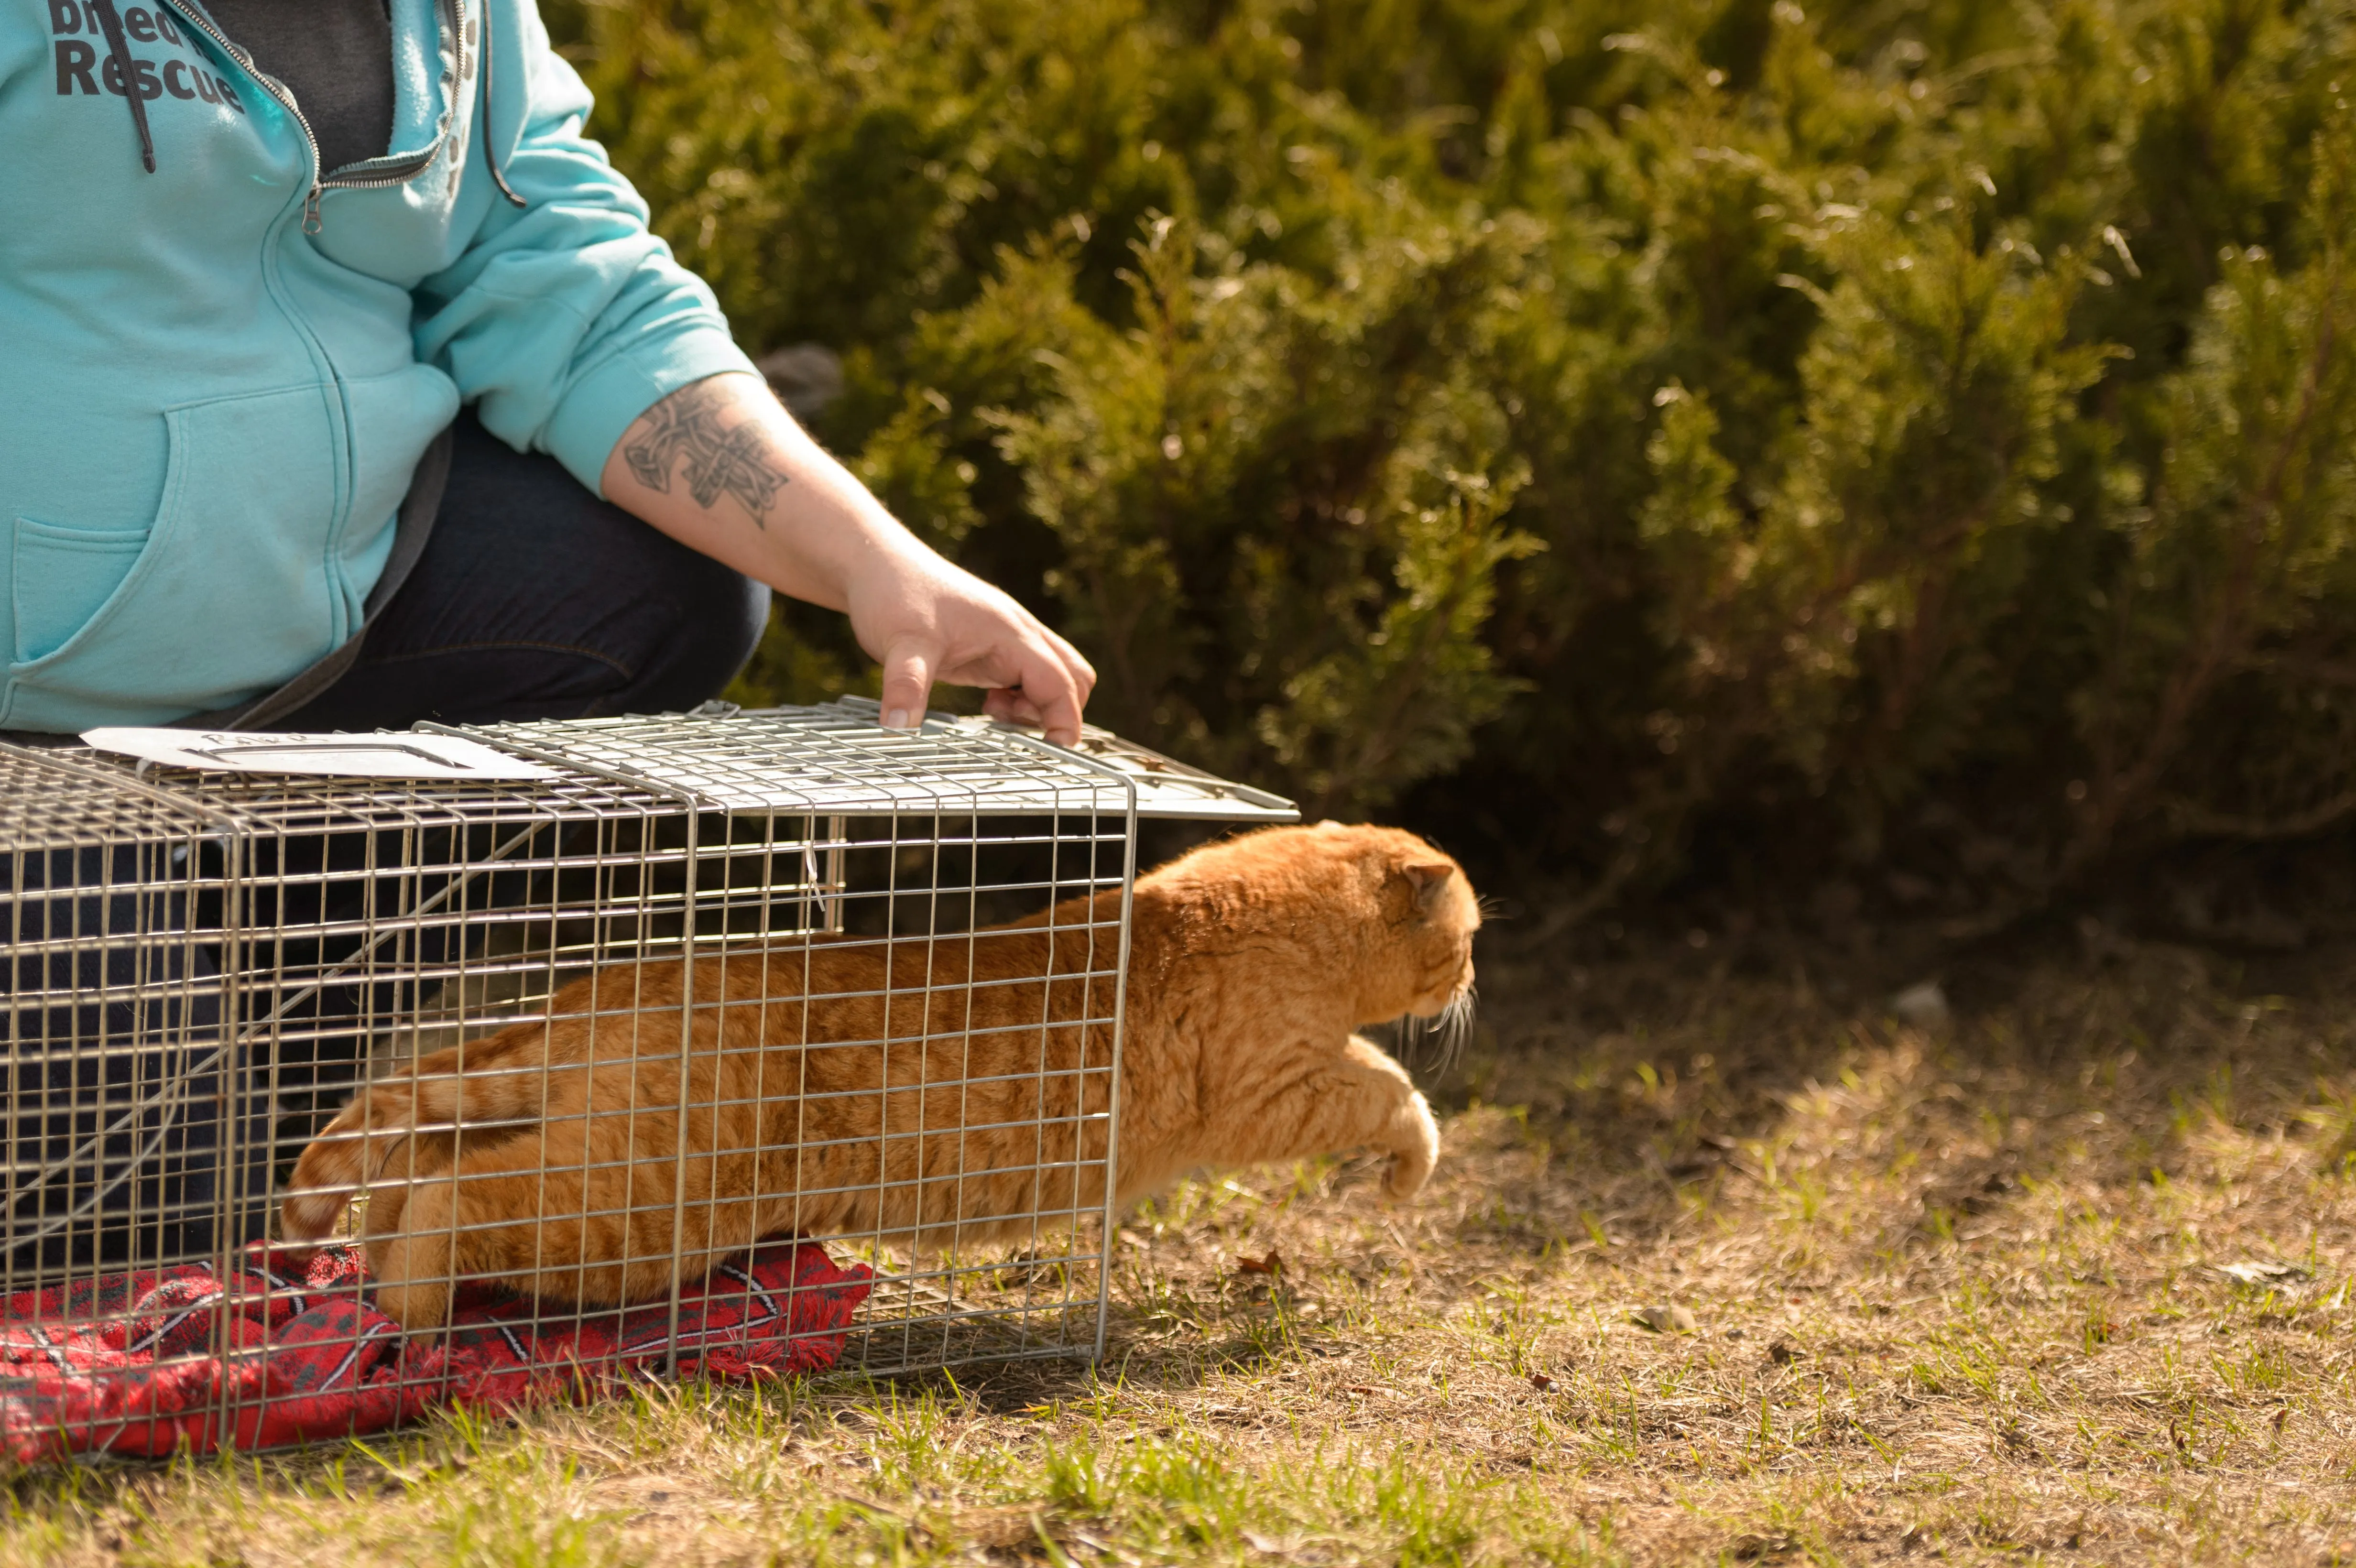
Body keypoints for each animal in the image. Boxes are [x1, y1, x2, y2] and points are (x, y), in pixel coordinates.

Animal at [285, 824, 1479, 1328]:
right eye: (1466, 940)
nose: (1474, 976)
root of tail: (612, 986)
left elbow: (1384, 1070)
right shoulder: (1282, 1088)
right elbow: (1396, 1092)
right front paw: (1409, 1172)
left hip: (598, 1161)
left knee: (413, 1163)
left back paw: (374, 1290)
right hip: (636, 1212)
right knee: (458, 1196)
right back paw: (417, 1316)